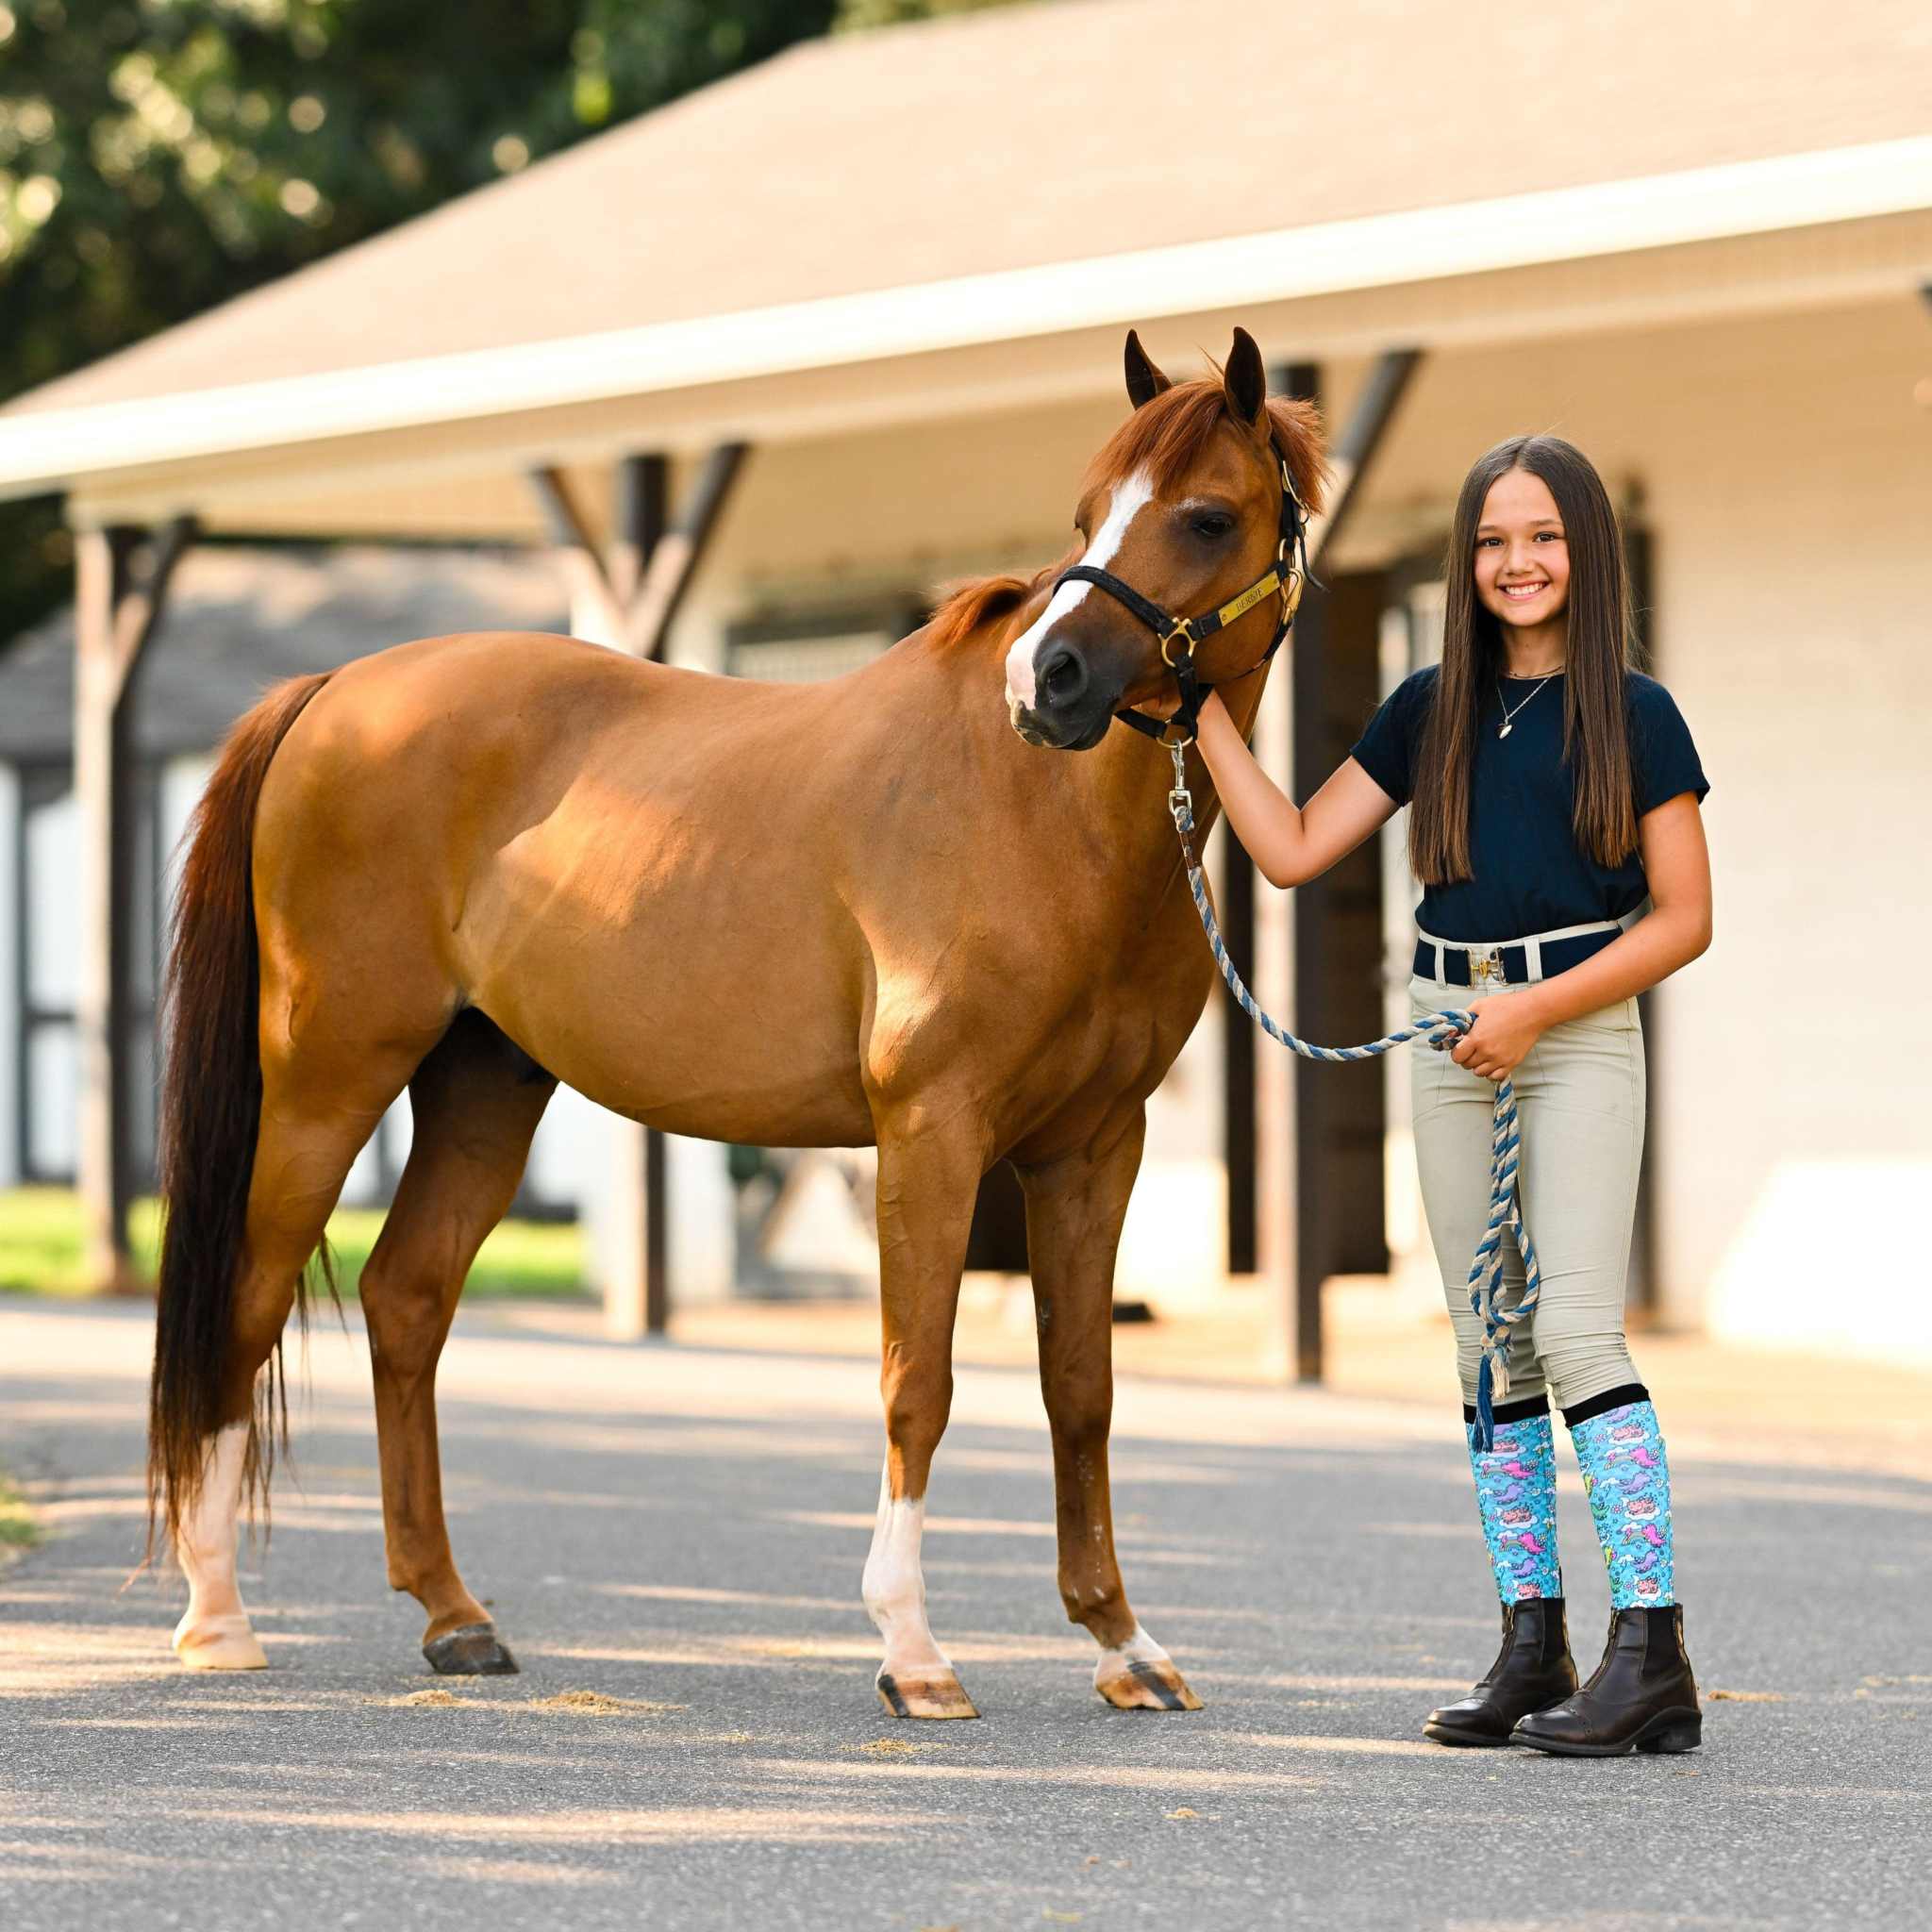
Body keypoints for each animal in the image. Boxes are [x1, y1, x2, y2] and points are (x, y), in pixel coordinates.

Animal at [148, 326, 1325, 1720]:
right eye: (1089, 512)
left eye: (1205, 515)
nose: (1048, 680)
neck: (1036, 815)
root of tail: (331, 694)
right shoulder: (932, 1133)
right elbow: (916, 1380)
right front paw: (913, 1654)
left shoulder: (1094, 1148)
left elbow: (1078, 1389)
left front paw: (1123, 1644)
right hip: (327, 1077)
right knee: (248, 1302)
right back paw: (217, 1616)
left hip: (484, 1083)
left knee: (407, 1300)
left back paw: (453, 1616)